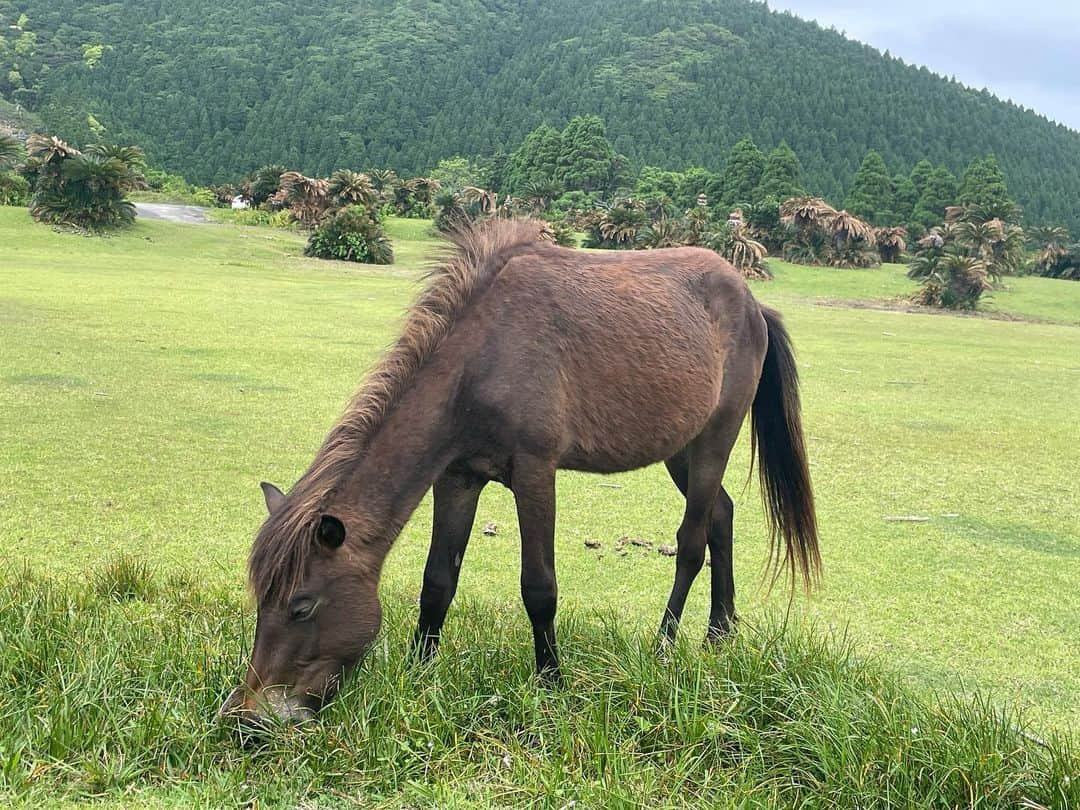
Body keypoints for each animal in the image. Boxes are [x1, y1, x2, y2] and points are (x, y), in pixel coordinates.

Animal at [219, 217, 816, 730]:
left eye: (302, 606)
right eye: (260, 601)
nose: (251, 718)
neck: (481, 356)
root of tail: (752, 302)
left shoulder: (534, 472)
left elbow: (539, 586)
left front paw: (551, 682)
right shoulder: (457, 477)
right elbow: (437, 581)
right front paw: (419, 671)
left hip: (716, 435)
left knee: (692, 541)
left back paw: (665, 646)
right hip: (681, 446)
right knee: (721, 516)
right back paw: (720, 634)